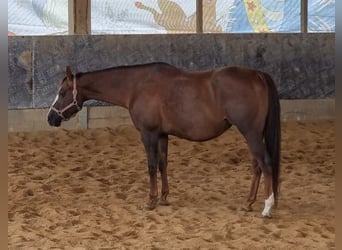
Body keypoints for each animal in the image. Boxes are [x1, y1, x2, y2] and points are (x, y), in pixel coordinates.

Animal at [47, 62, 280, 217]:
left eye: (62, 92)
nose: (50, 118)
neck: (137, 86)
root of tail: (257, 75)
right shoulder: (161, 135)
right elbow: (162, 164)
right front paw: (163, 198)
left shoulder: (148, 133)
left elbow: (151, 166)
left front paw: (150, 200)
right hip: (252, 134)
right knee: (257, 166)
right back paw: (248, 203)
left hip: (250, 133)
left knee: (265, 163)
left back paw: (267, 207)